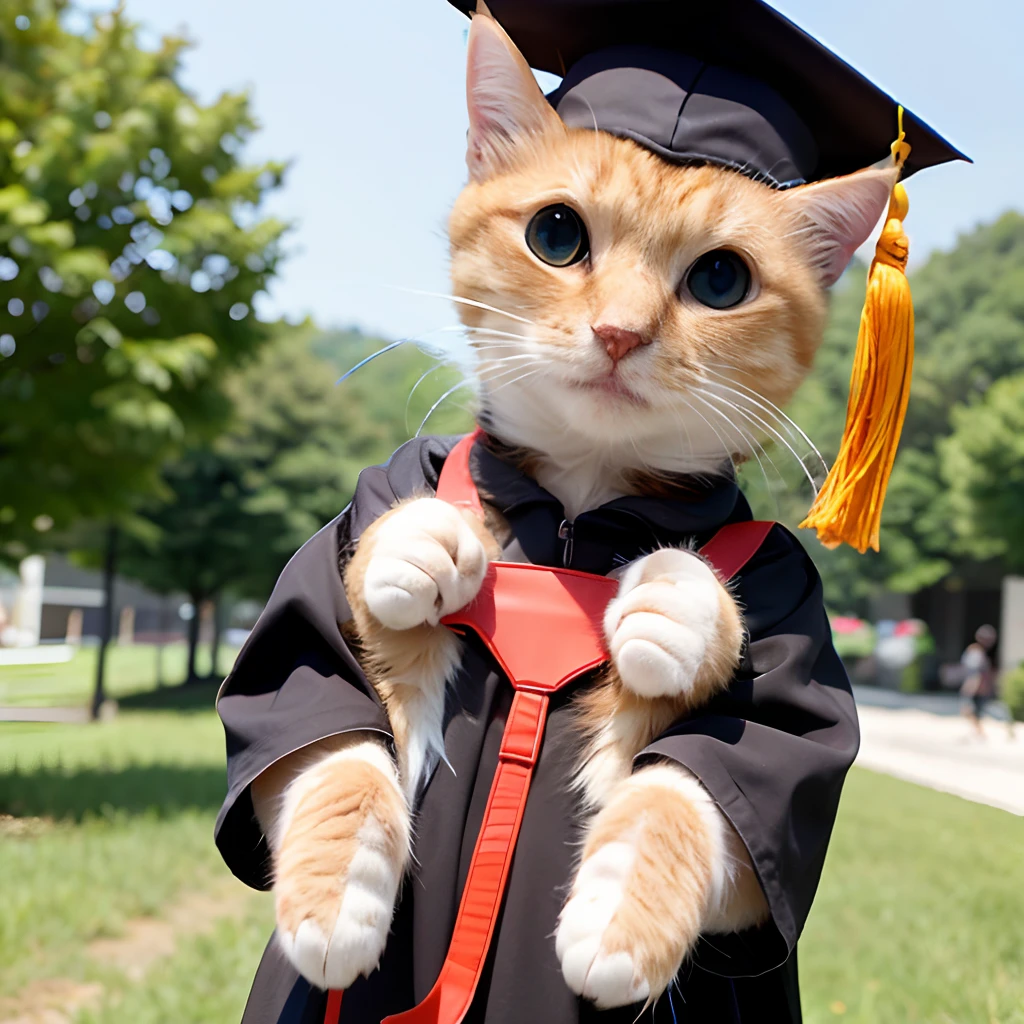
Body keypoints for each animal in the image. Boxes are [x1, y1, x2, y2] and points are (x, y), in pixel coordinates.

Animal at [251, 8, 901, 1011]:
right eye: (557, 234)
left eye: (721, 281)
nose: (620, 332)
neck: (580, 506)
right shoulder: (328, 603)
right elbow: (317, 726)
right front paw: (333, 907)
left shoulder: (794, 629)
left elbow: (721, 778)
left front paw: (622, 926)